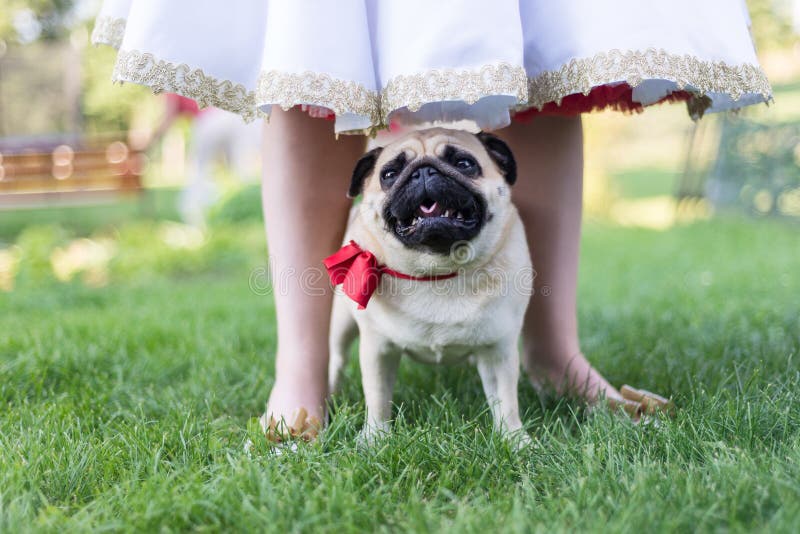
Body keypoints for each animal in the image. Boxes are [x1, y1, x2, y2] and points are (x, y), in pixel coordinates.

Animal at [328, 127, 536, 446]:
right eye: (390, 174)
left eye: (464, 164)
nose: (423, 171)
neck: (436, 272)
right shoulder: (377, 348)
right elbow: (377, 397)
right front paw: (375, 437)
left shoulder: (498, 349)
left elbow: (506, 401)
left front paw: (513, 440)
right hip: (341, 322)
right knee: (336, 359)